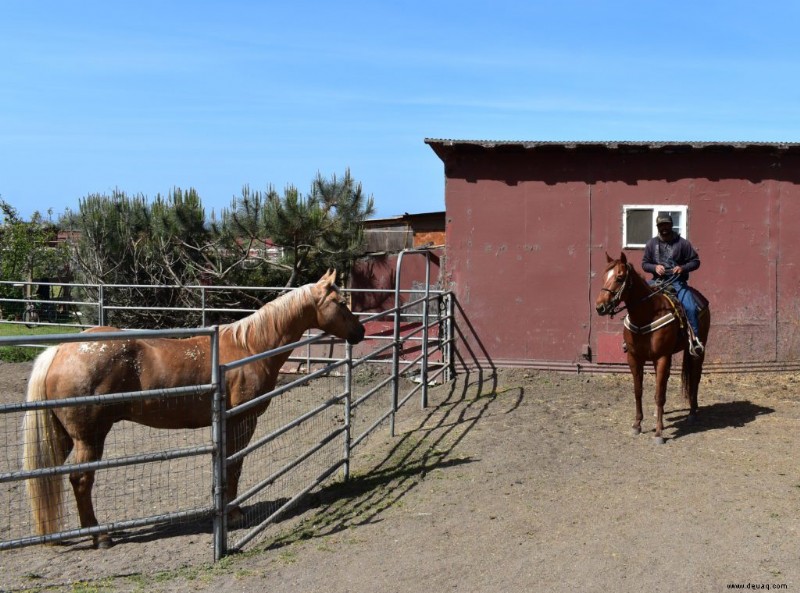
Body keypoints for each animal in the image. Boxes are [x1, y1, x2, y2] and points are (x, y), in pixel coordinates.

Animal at [22, 268, 366, 544]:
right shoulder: (241, 421)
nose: (360, 332)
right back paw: (100, 535)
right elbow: (234, 466)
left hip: (65, 436)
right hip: (89, 438)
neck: (250, 347)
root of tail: (61, 350)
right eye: (341, 303)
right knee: (81, 480)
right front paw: (234, 514)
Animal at [592, 252, 712, 442]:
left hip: (698, 351)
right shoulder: (634, 358)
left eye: (619, 277)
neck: (646, 315)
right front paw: (637, 425)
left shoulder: (662, 357)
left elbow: (659, 395)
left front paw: (658, 433)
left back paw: (692, 412)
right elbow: (639, 391)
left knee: (695, 377)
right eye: (604, 277)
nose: (600, 307)